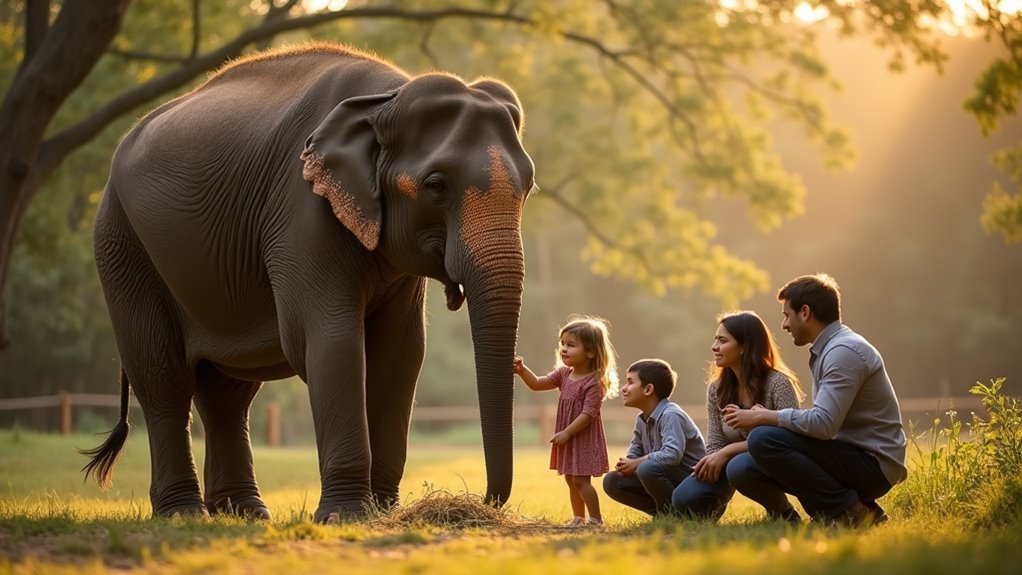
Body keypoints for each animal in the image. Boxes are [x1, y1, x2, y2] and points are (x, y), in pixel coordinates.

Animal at [81, 42, 535, 522]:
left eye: (529, 186)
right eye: (435, 186)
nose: (483, 501)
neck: (384, 99)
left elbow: (402, 352)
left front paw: (382, 512)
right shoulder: (300, 213)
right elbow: (331, 341)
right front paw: (347, 515)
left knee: (226, 393)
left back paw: (245, 513)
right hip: (122, 244)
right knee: (163, 380)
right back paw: (184, 513)